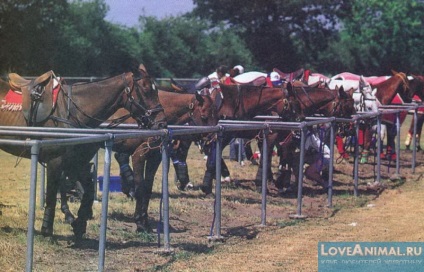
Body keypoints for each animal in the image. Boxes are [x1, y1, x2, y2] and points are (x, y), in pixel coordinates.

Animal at [0, 63, 166, 238]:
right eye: (145, 89)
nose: (162, 123)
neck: (72, 111)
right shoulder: (55, 162)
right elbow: (52, 195)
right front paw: (47, 229)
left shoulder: (76, 163)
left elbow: (87, 192)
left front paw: (79, 222)